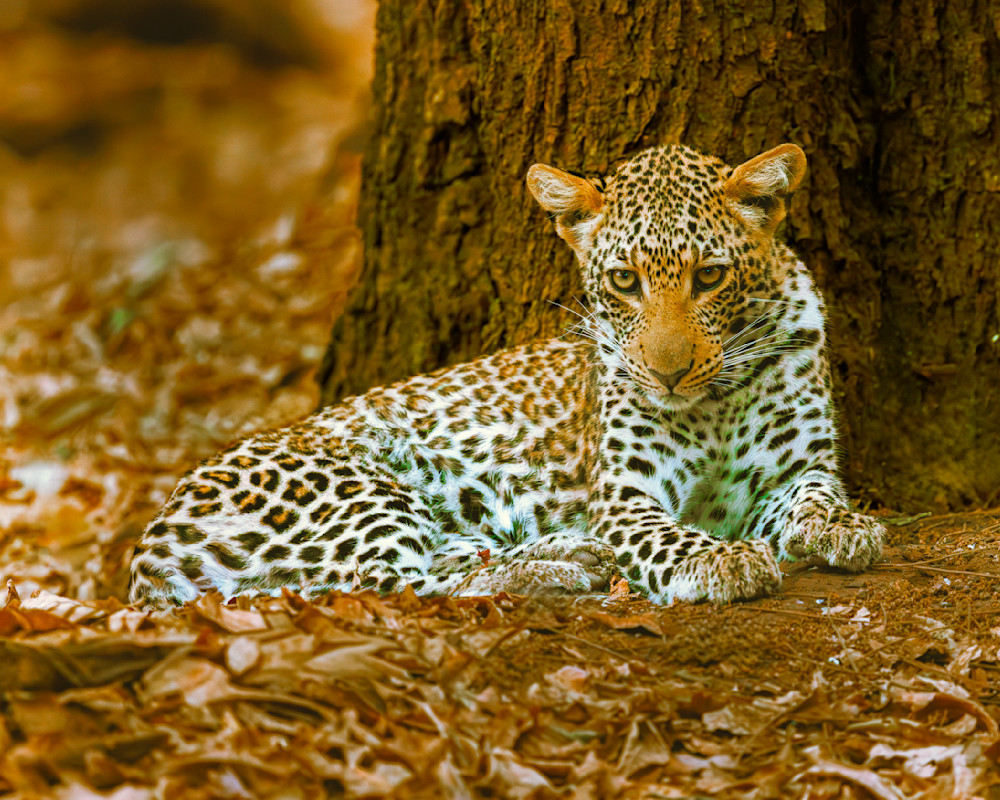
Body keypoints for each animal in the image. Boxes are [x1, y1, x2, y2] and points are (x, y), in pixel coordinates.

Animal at [128, 142, 885, 609]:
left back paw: (565, 552)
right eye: (624, 281)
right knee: (392, 587)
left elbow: (815, 493)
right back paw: (560, 566)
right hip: (357, 488)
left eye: (710, 277)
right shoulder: (628, 497)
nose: (667, 374)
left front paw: (844, 527)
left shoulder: (799, 466)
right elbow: (663, 533)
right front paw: (718, 560)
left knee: (440, 564)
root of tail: (148, 547)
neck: (714, 404)